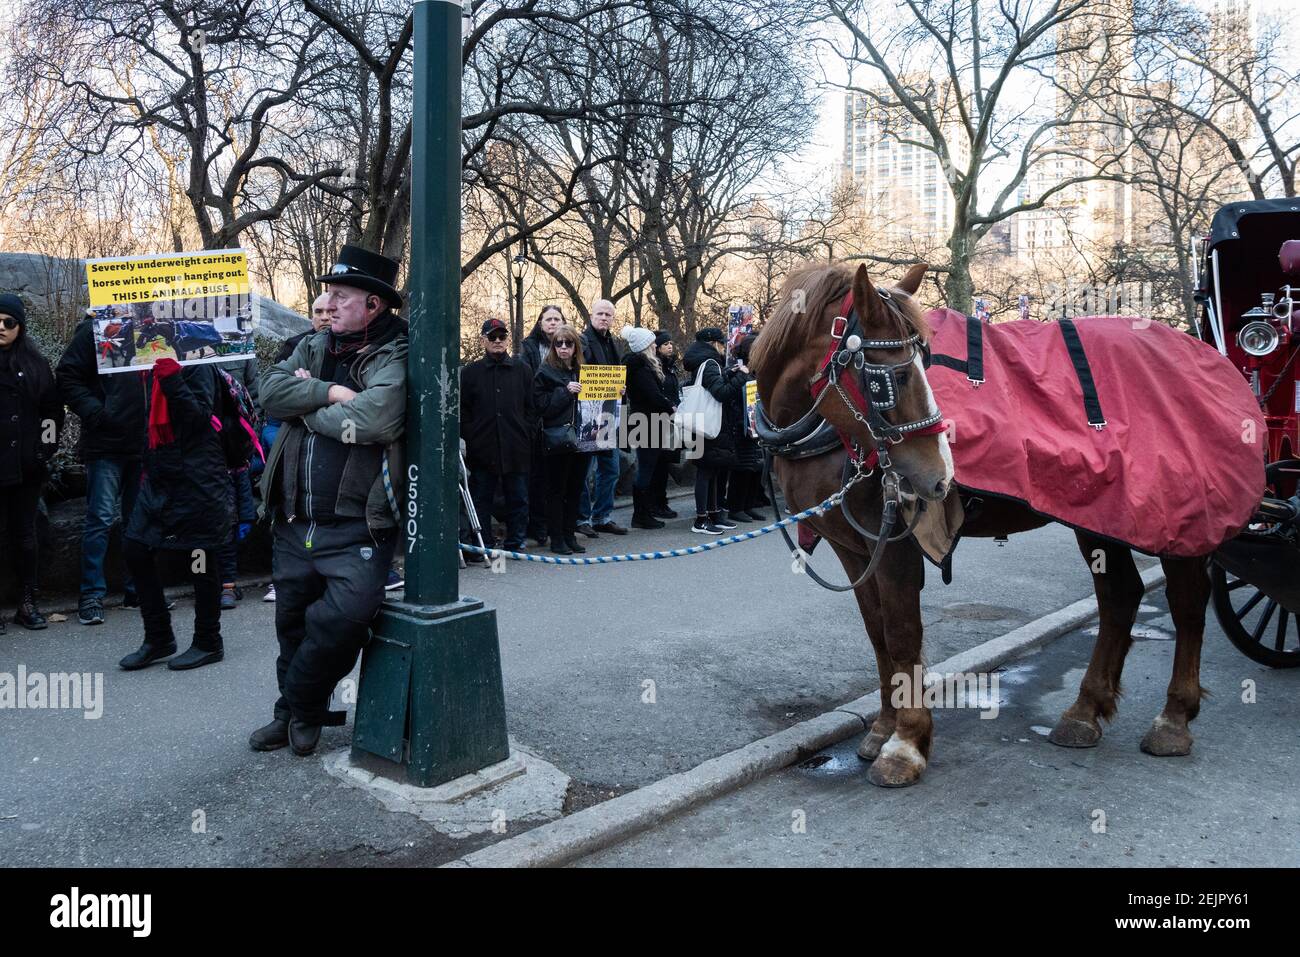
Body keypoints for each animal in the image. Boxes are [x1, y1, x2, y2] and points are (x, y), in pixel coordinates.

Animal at [750, 261, 1214, 788]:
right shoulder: (852, 548)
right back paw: (1084, 712)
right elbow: (877, 633)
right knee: (1120, 596)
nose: (939, 475)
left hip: (1172, 520)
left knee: (1186, 602)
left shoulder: (895, 545)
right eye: (892, 378)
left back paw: (1173, 719)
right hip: (1101, 520)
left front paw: (905, 743)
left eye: (922, 363)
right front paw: (884, 727)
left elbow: (902, 632)